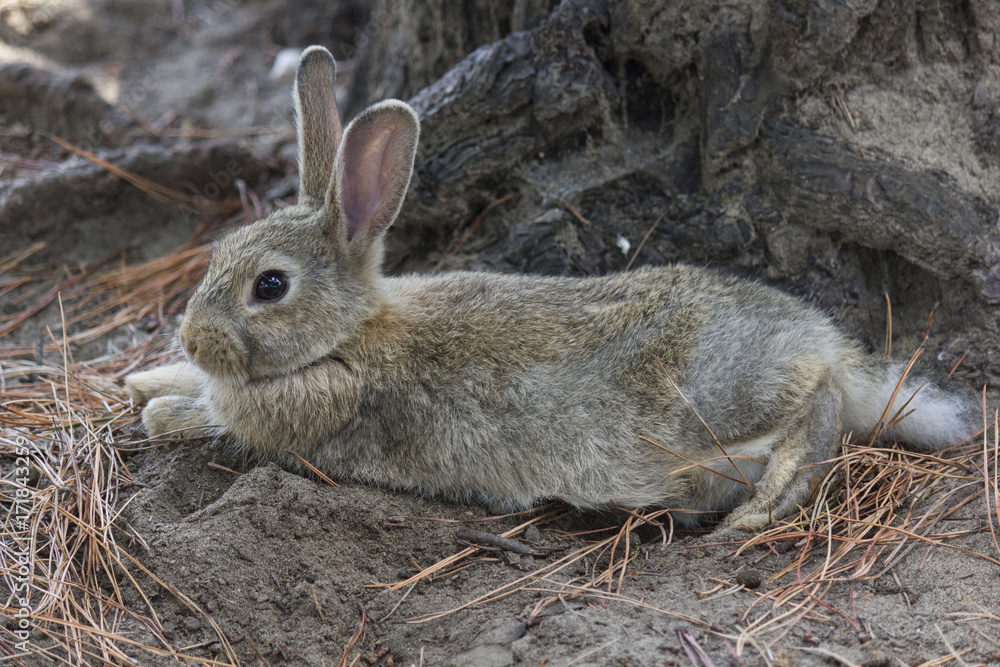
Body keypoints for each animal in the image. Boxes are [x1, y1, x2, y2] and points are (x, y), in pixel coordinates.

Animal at [125, 46, 977, 534]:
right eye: (218, 257)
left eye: (270, 285)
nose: (192, 335)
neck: (349, 332)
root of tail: (823, 338)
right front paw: (143, 379)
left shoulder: (309, 406)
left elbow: (212, 418)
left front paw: (161, 411)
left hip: (722, 399)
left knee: (817, 409)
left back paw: (762, 505)